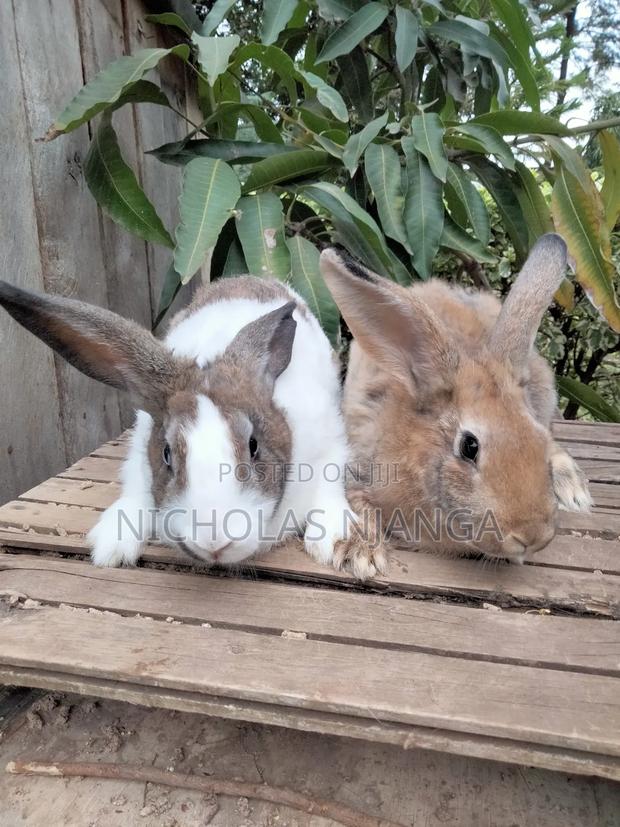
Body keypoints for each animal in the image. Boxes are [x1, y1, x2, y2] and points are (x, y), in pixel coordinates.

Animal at [0, 276, 354, 570]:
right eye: (167, 454)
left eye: (254, 446)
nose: (214, 543)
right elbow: (136, 494)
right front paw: (111, 546)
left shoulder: (331, 443)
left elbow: (330, 485)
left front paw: (333, 541)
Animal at [319, 233, 593, 577]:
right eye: (469, 447)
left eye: (536, 439)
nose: (532, 536)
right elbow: (357, 503)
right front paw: (362, 554)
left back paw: (575, 490)